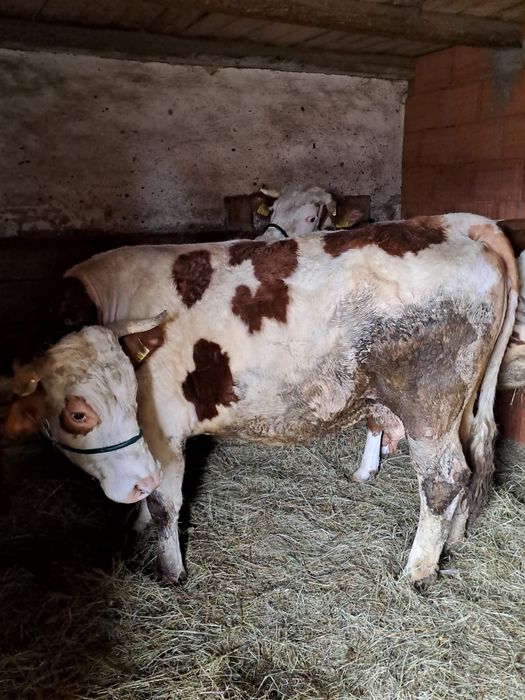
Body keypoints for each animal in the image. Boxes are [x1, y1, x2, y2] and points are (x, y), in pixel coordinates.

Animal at [5, 213, 519, 589]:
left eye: (80, 413)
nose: (133, 484)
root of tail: (448, 222)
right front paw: (138, 523)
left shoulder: (163, 430)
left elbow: (166, 505)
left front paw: (169, 571)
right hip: (460, 407)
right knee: (473, 461)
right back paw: (454, 538)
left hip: (429, 409)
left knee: (444, 479)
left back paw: (415, 572)